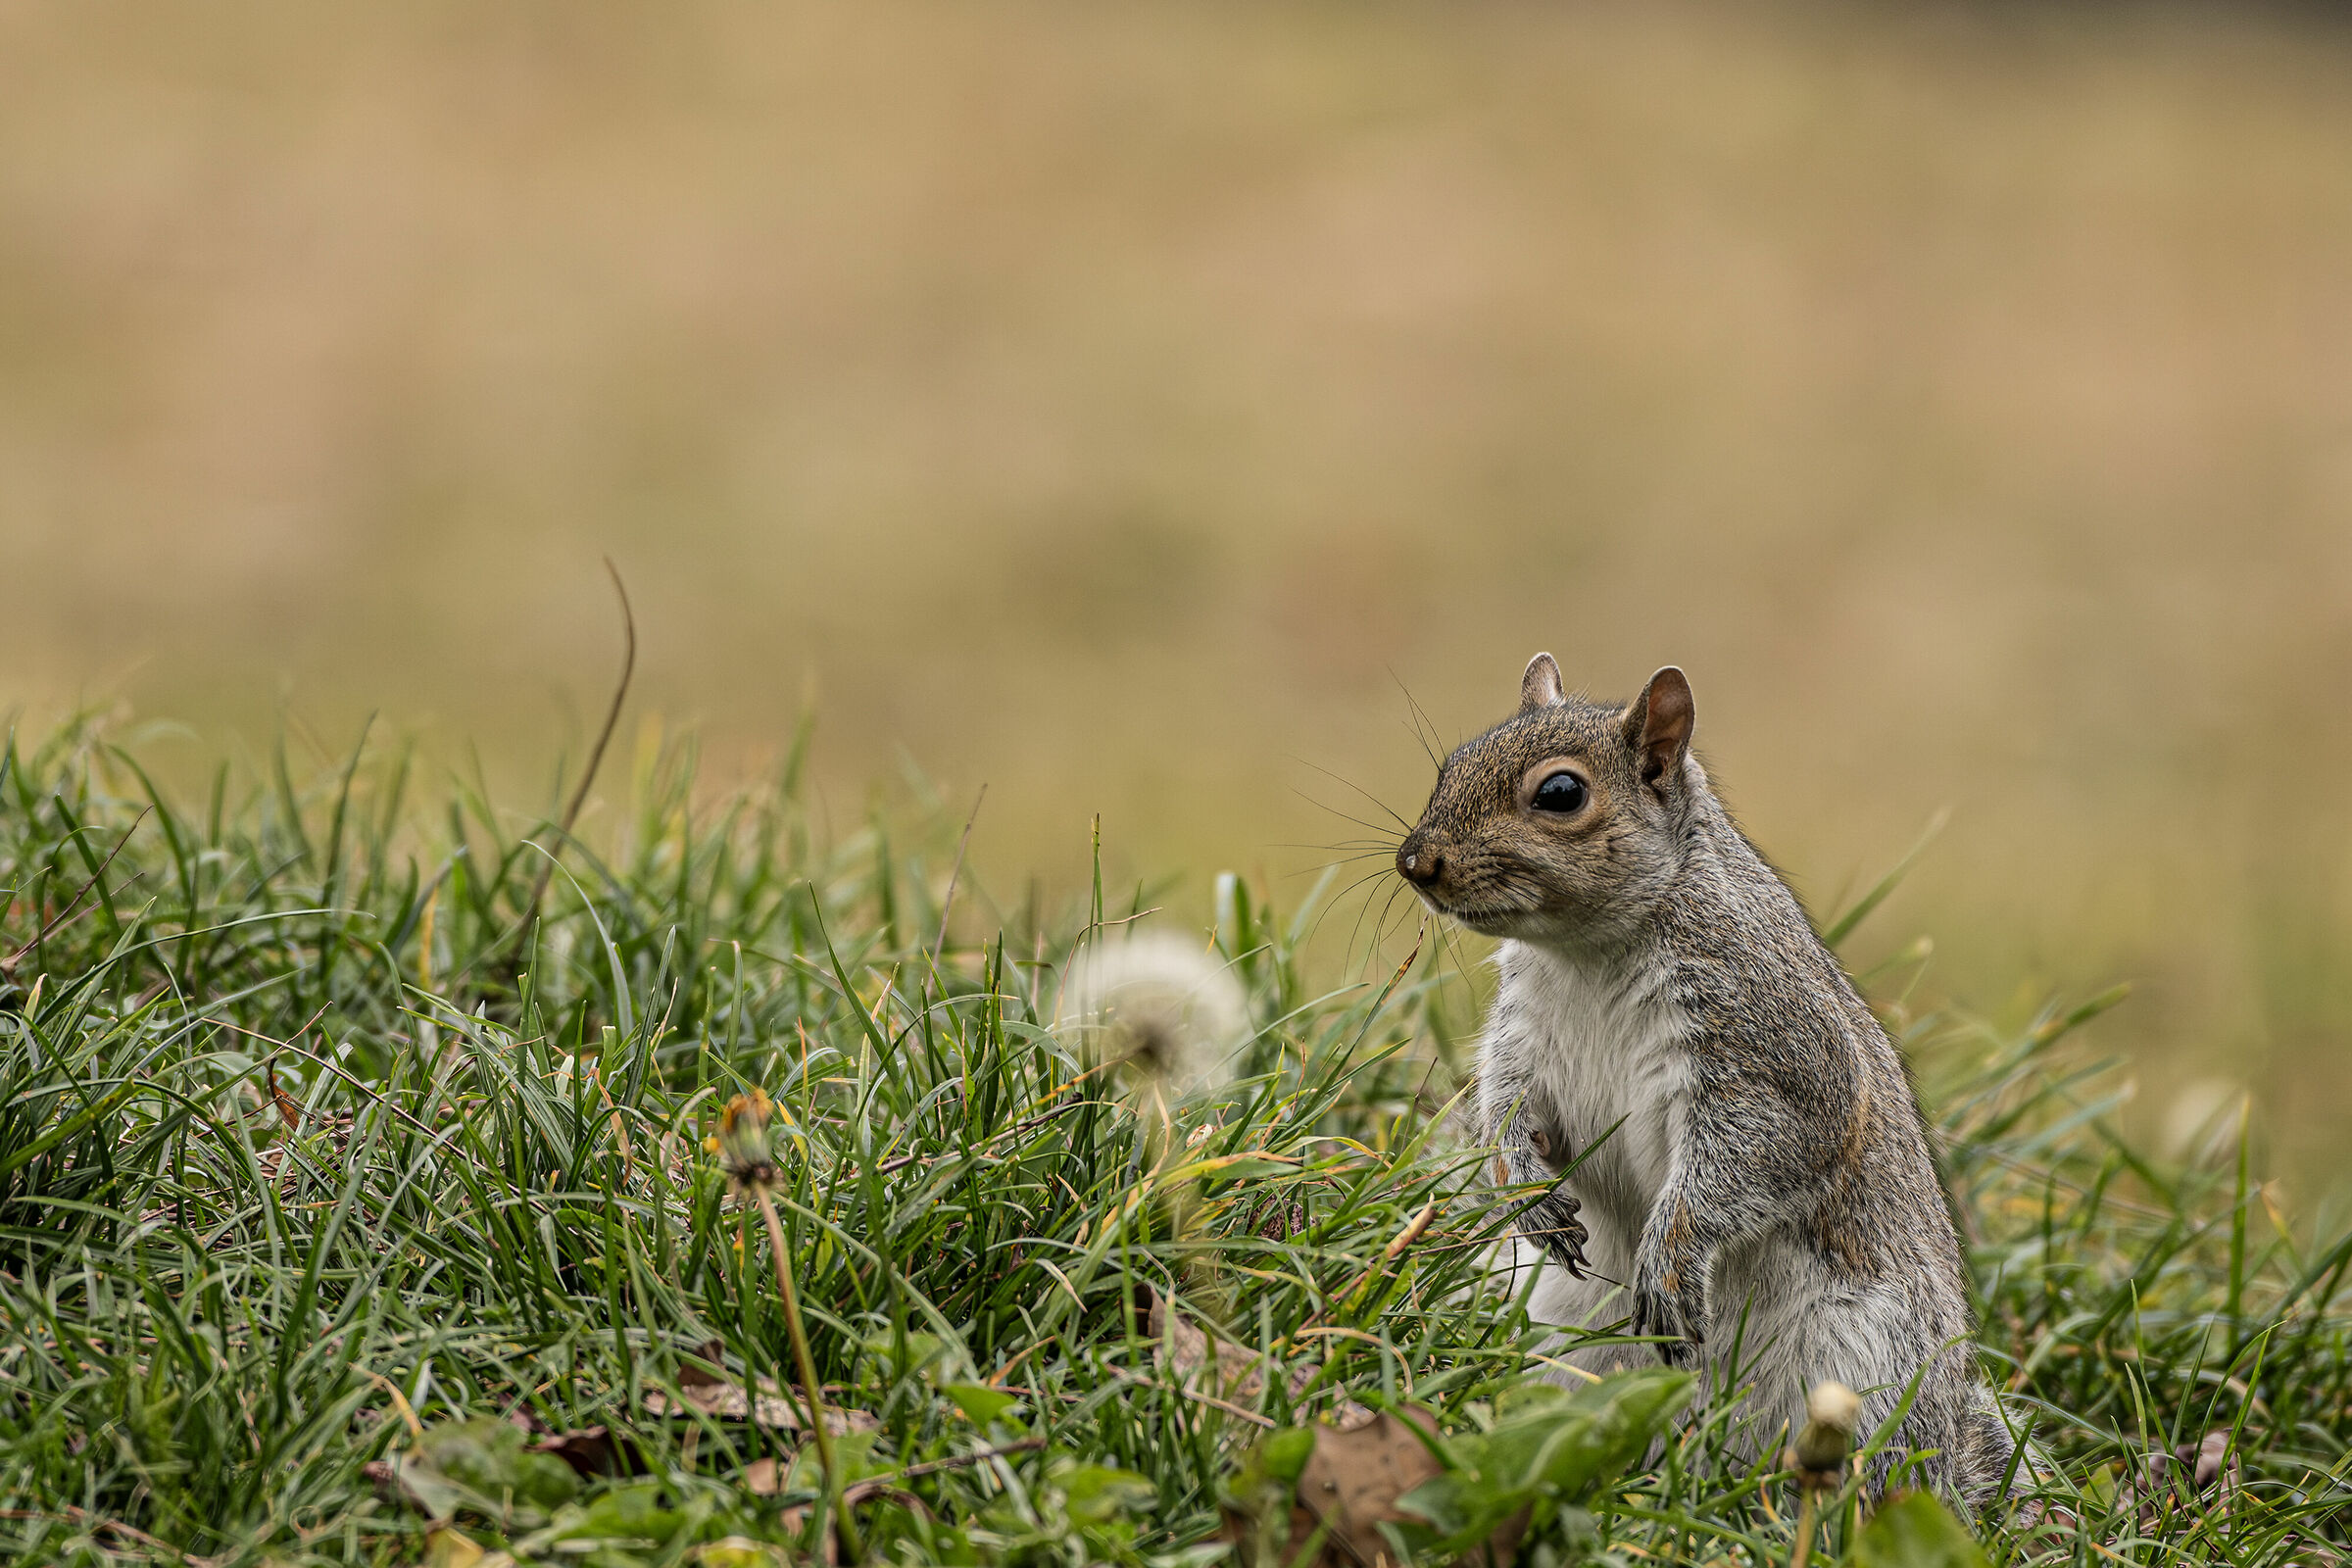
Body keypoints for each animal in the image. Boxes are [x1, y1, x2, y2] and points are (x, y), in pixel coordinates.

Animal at [1396, 655, 2016, 1502]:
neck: (1587, 950)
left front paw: (1671, 1253)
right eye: (1451, 765)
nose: (1415, 862)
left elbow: (1750, 1157)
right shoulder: (1523, 1041)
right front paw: (1526, 1190)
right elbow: (1504, 1108)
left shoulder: (1769, 1053)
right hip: (1570, 1337)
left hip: (1863, 1367)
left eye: (1560, 794)